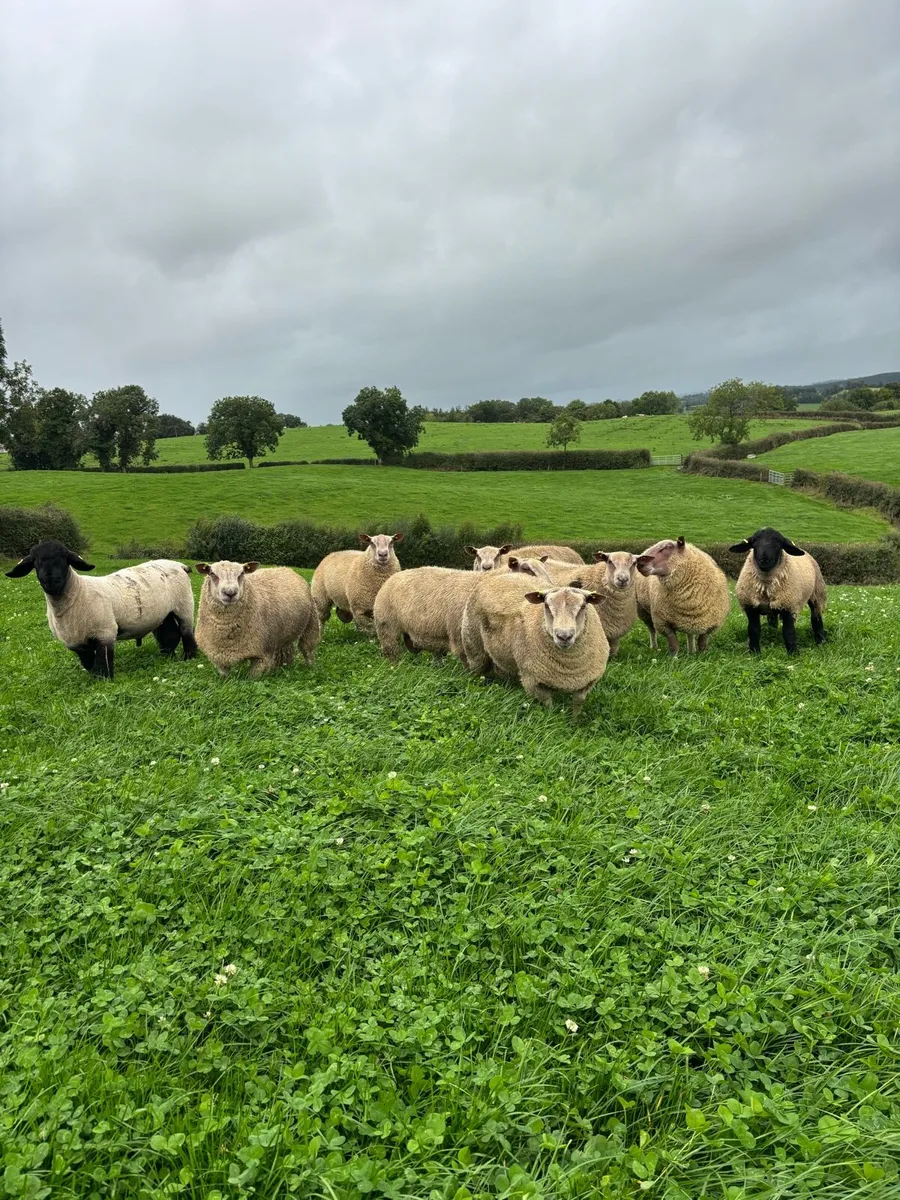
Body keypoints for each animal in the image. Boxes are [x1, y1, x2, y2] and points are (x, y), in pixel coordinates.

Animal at [5, 539, 196, 678]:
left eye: (64, 560)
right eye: (36, 563)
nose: (51, 581)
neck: (78, 593)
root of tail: (179, 565)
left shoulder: (105, 632)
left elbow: (102, 661)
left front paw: (105, 680)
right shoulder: (77, 643)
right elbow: (88, 663)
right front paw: (94, 677)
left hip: (184, 605)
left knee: (186, 632)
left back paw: (189, 657)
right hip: (166, 613)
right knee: (170, 634)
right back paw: (168, 656)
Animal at [462, 573, 609, 714]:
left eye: (583, 606)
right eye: (546, 605)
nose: (564, 636)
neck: (569, 668)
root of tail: (496, 577)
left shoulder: (587, 683)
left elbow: (578, 704)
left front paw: (575, 720)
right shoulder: (533, 681)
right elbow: (548, 705)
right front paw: (552, 718)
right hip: (474, 646)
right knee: (476, 669)